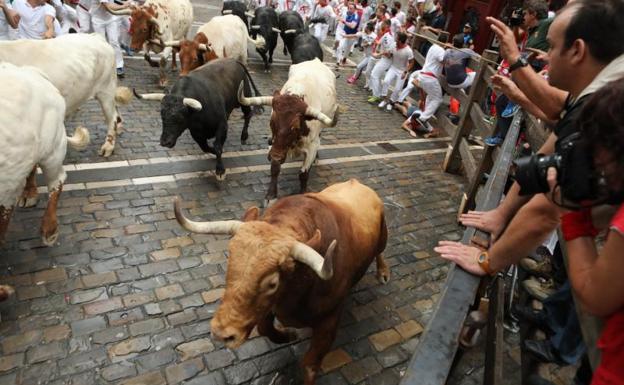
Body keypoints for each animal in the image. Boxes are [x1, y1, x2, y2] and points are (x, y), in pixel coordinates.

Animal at [174, 178, 390, 384]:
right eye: (230, 263)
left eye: (273, 283)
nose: (221, 334)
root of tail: (357, 183)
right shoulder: (267, 308)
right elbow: (264, 328)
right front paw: (288, 335)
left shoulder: (329, 320)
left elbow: (310, 364)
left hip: (383, 236)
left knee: (380, 251)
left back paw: (383, 272)